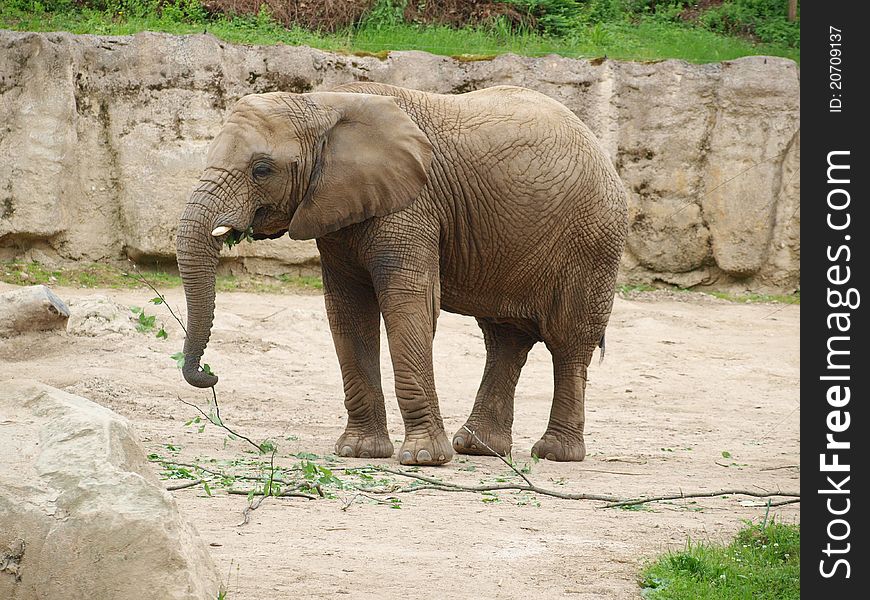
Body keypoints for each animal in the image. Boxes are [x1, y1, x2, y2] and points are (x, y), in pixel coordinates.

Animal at [177, 83, 628, 468]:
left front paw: (424, 459)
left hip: (594, 239)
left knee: (569, 340)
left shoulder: (413, 206)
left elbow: (408, 305)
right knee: (505, 338)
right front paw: (359, 452)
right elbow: (347, 313)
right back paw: (478, 448)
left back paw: (554, 453)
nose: (211, 375)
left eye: (262, 170)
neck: (322, 104)